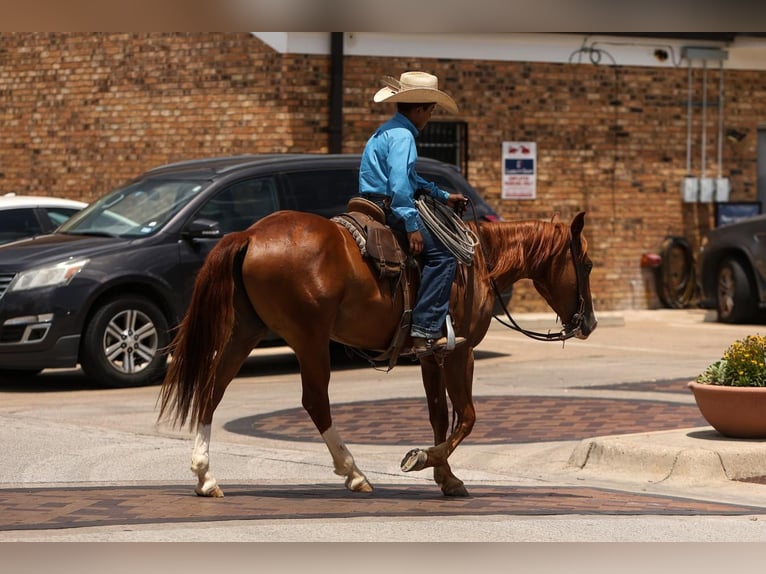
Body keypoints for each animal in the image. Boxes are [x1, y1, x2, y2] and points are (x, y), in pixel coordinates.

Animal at [158, 209, 600, 498]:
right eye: (588, 263)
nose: (590, 324)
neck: (477, 264)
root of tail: (250, 234)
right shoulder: (461, 353)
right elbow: (468, 417)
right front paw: (422, 459)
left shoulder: (431, 355)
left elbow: (440, 416)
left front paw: (446, 477)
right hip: (309, 339)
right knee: (315, 401)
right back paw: (353, 472)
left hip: (244, 331)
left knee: (213, 388)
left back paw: (205, 476)